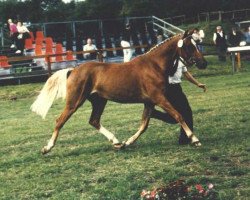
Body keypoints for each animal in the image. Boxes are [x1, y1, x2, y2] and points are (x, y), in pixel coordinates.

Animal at [31, 30, 207, 155]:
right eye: (189, 46)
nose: (203, 63)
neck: (154, 65)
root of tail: (73, 70)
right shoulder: (158, 98)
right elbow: (178, 115)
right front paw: (195, 140)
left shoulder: (149, 102)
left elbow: (144, 124)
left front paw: (127, 143)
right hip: (75, 102)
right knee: (59, 121)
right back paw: (47, 148)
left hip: (99, 101)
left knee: (94, 121)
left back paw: (116, 142)